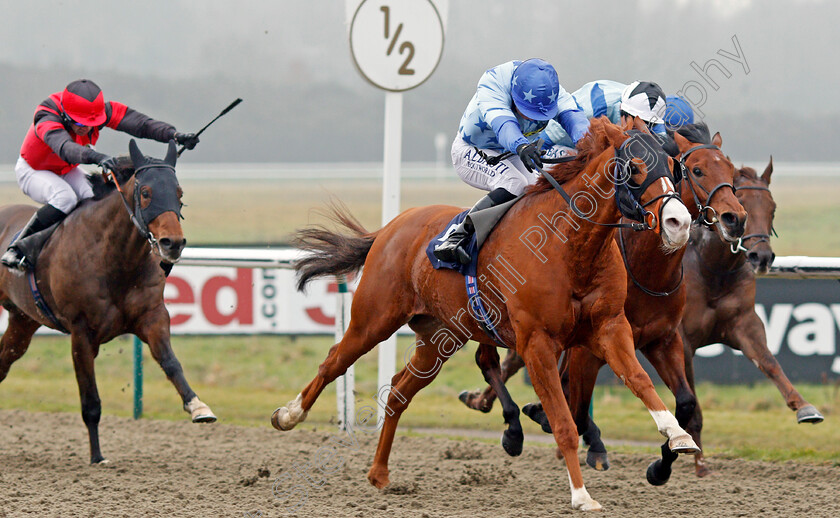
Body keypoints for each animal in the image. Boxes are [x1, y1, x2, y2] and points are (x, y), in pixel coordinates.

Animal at [0, 140, 217, 466]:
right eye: (146, 192)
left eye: (179, 193)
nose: (173, 243)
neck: (115, 259)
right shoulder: (81, 332)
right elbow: (90, 400)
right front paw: (97, 456)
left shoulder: (152, 316)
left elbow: (171, 363)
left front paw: (198, 406)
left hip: (23, 321)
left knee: (4, 360)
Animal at [270, 118, 696, 512]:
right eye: (635, 168)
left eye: (674, 166)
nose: (679, 223)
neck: (571, 246)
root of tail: (391, 227)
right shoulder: (536, 343)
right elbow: (562, 422)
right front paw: (581, 496)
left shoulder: (609, 327)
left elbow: (639, 380)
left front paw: (678, 436)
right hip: (372, 319)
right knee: (334, 362)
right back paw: (288, 415)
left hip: (439, 339)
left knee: (398, 391)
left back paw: (379, 473)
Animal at [460, 124, 748, 486]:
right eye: (696, 170)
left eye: (731, 170)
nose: (735, 218)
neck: (647, 272)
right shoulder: (588, 348)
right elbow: (578, 409)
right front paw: (566, 429)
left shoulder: (662, 339)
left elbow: (684, 403)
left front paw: (662, 465)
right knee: (490, 360)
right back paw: (509, 423)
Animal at [680, 159, 824, 480]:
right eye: (741, 203)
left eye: (772, 208)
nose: (762, 257)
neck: (712, 268)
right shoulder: (681, 340)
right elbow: (691, 402)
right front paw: (699, 462)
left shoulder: (744, 324)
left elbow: (769, 362)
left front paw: (805, 407)